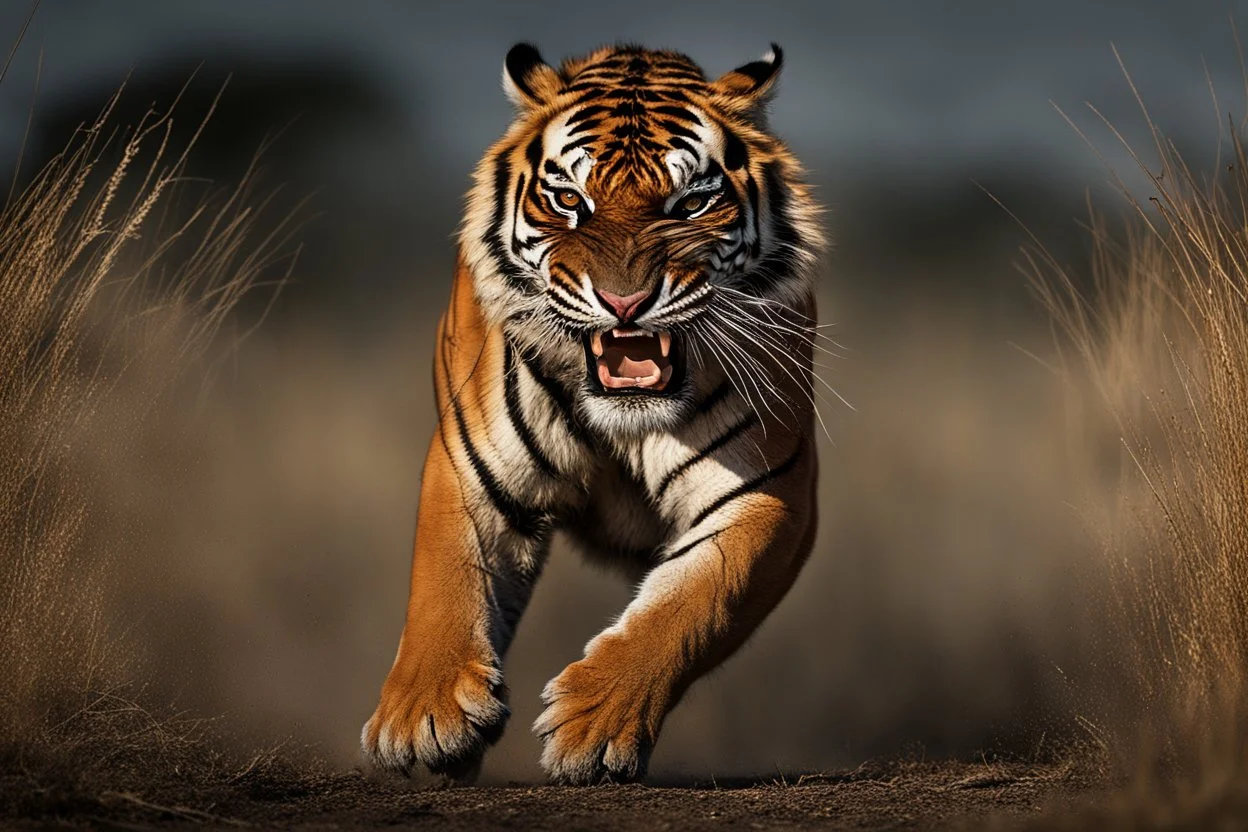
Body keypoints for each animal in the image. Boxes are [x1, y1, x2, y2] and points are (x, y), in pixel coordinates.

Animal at [361, 40, 828, 788]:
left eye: (691, 202)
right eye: (568, 200)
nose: (624, 302)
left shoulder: (766, 493)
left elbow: (692, 603)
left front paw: (594, 725)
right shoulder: (472, 466)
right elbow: (445, 580)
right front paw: (423, 721)